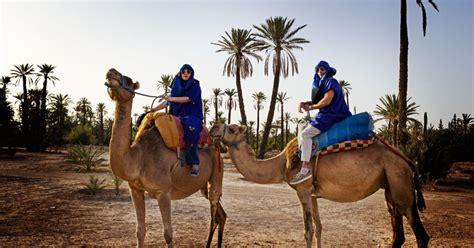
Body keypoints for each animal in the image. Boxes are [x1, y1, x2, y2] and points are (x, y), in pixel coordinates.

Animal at [105, 68, 226, 248]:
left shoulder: (163, 192)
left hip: (217, 174)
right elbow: (140, 231)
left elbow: (168, 234)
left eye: (128, 80)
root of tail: (217, 147)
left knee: (214, 215)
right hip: (204, 185)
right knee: (221, 215)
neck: (138, 158)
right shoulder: (135, 190)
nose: (111, 72)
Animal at [211, 124, 430, 248]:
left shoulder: (303, 191)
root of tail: (407, 161)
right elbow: (319, 227)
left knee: (421, 235)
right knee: (398, 234)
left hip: (400, 184)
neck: (281, 164)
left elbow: (307, 230)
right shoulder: (314, 195)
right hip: (390, 188)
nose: (213, 128)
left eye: (231, 128)